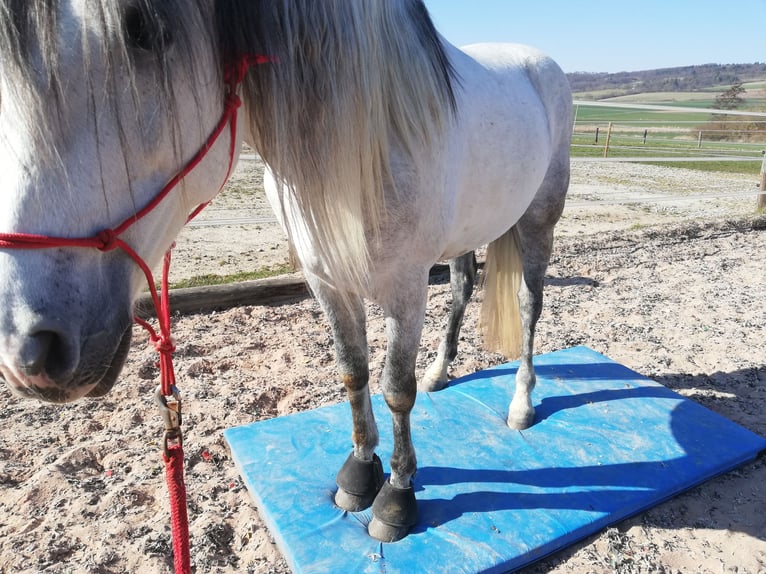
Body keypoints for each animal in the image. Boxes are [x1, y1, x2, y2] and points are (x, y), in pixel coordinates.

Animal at [0, 0, 568, 544]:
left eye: (145, 32)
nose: (30, 349)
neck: (367, 137)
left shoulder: (405, 290)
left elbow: (395, 390)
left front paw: (398, 497)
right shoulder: (327, 281)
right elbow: (353, 371)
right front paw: (360, 472)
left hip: (537, 222)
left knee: (528, 307)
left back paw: (521, 403)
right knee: (462, 291)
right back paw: (440, 372)